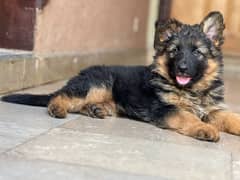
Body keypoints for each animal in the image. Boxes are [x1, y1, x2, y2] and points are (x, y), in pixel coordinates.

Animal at [2, 11, 240, 142]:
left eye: (197, 52)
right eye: (174, 51)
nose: (182, 68)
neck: (194, 90)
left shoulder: (213, 109)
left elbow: (230, 116)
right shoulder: (166, 108)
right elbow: (187, 117)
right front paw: (203, 128)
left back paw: (96, 109)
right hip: (97, 84)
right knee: (61, 97)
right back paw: (58, 108)